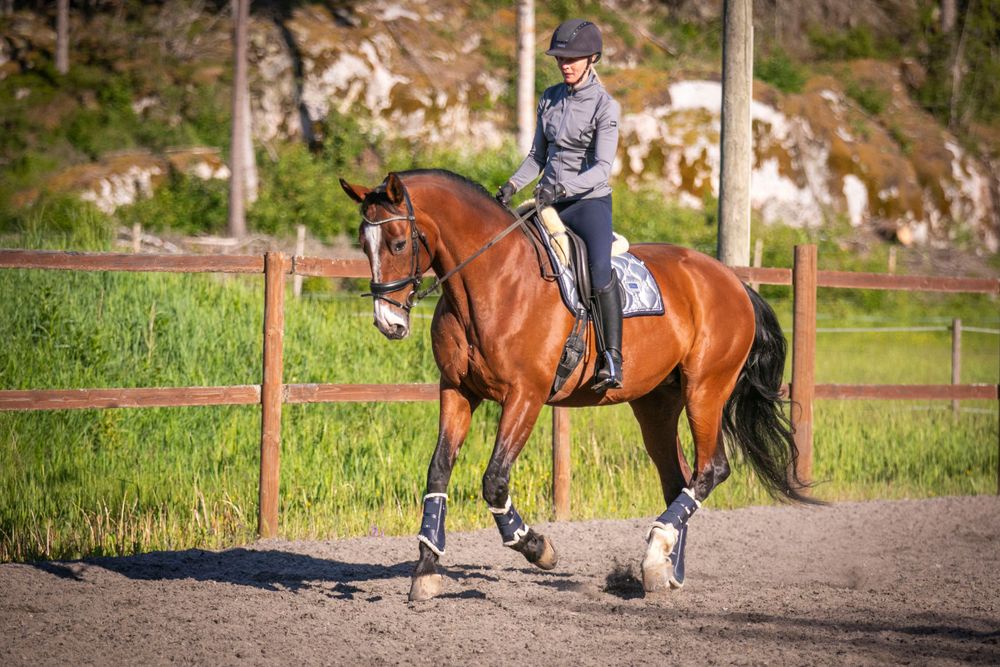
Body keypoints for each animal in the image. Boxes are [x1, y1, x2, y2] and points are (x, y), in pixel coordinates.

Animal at [339, 169, 813, 602]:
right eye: (363, 245)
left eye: (398, 243)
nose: (389, 323)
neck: (494, 281)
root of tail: (733, 282)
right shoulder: (456, 390)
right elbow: (438, 469)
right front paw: (425, 569)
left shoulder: (525, 396)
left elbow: (494, 480)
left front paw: (538, 548)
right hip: (656, 405)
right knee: (679, 477)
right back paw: (664, 569)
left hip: (705, 391)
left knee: (711, 469)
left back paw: (655, 552)